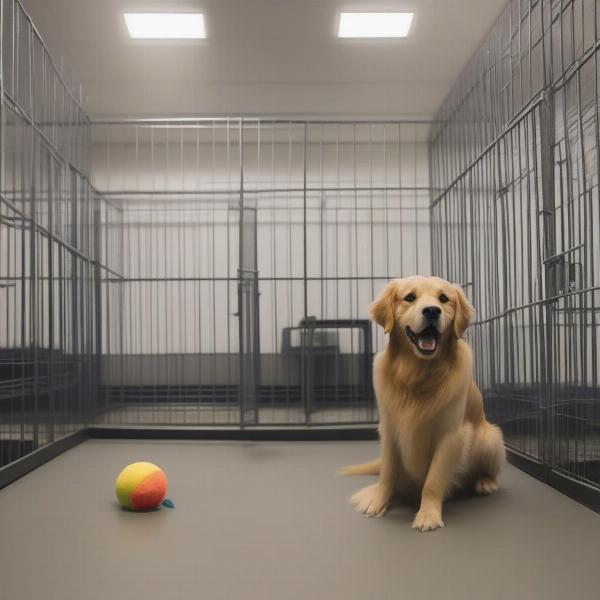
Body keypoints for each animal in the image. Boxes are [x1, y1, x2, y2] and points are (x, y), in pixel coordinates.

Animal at [340, 274, 504, 532]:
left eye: (444, 298)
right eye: (409, 297)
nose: (432, 311)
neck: (417, 375)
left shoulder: (450, 435)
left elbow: (433, 481)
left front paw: (428, 515)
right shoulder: (390, 430)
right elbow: (388, 473)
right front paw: (377, 500)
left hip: (490, 438)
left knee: (487, 469)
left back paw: (484, 483)